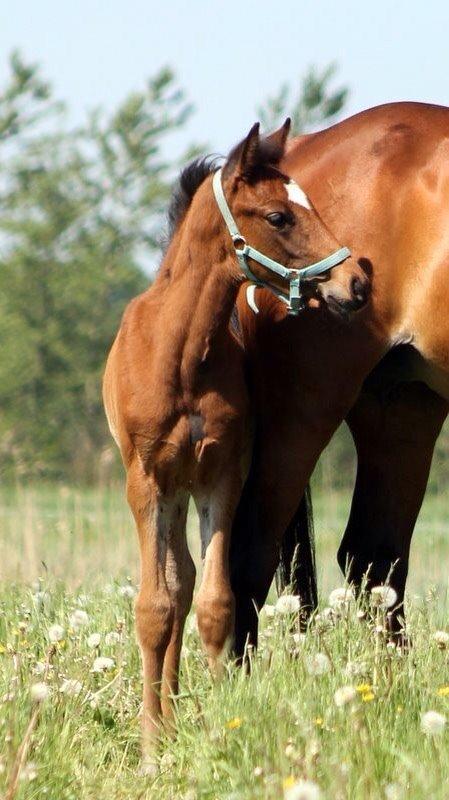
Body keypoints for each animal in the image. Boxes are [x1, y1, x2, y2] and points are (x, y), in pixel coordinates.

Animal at [102, 120, 368, 768]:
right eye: (278, 216)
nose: (357, 283)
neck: (181, 354)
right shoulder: (145, 480)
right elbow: (153, 608)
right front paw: (151, 748)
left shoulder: (220, 476)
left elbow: (215, 604)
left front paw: (222, 726)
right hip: (166, 491)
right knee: (171, 587)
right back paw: (163, 720)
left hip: (185, 490)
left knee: (186, 583)